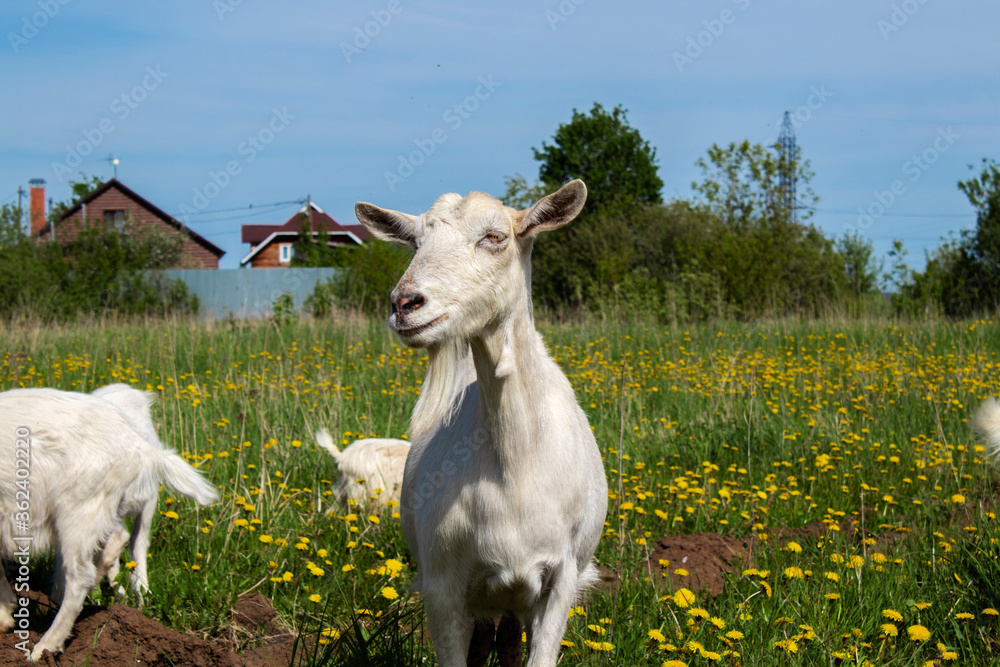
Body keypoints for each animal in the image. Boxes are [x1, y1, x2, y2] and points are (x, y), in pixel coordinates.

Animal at [0, 387, 218, 661]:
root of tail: (136, 442)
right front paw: (6, 613)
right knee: (112, 543)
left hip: (81, 508)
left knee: (89, 570)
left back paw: (44, 648)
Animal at [355, 179, 608, 667]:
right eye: (415, 242)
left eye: (495, 237)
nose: (405, 303)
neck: (515, 461)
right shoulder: (442, 586)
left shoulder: (562, 579)